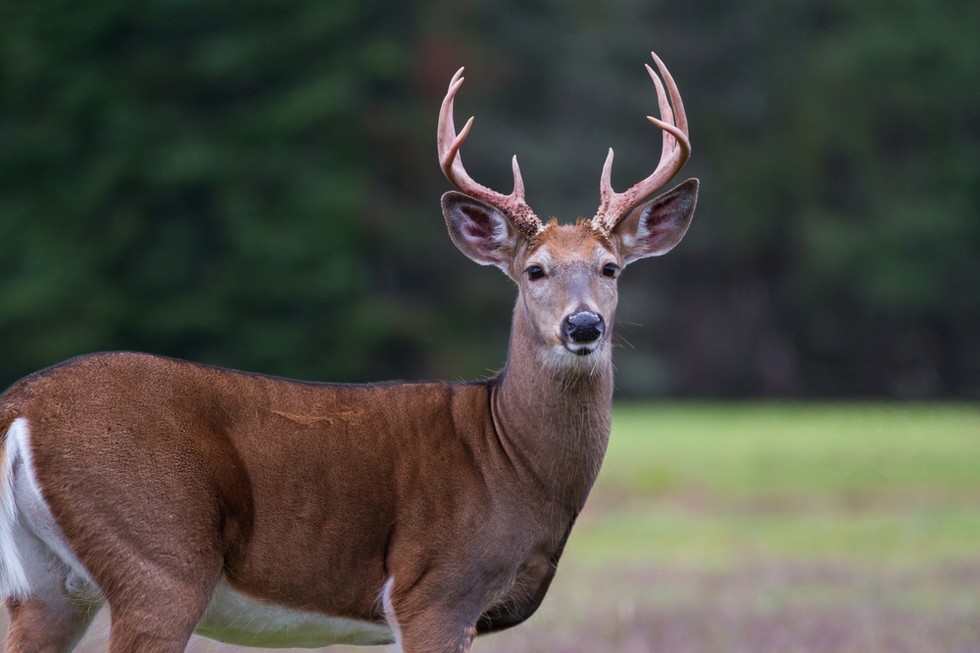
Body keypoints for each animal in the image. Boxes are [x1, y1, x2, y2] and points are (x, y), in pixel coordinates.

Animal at [3, 52, 700, 652]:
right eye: (534, 270)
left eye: (611, 268)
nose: (583, 326)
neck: (511, 460)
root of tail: (21, 406)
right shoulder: (433, 589)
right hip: (160, 556)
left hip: (46, 588)